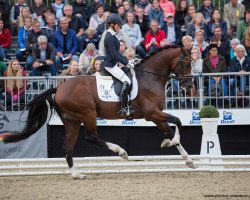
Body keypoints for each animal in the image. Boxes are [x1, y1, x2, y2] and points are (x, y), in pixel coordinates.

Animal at [4, 47, 195, 180]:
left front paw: (187, 159)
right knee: (91, 136)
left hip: (72, 121)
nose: (189, 86)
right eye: (186, 64)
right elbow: (178, 121)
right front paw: (171, 142)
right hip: (88, 113)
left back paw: (77, 174)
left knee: (67, 147)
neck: (151, 78)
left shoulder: (156, 115)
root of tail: (58, 88)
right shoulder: (152, 114)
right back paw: (121, 151)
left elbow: (169, 130)